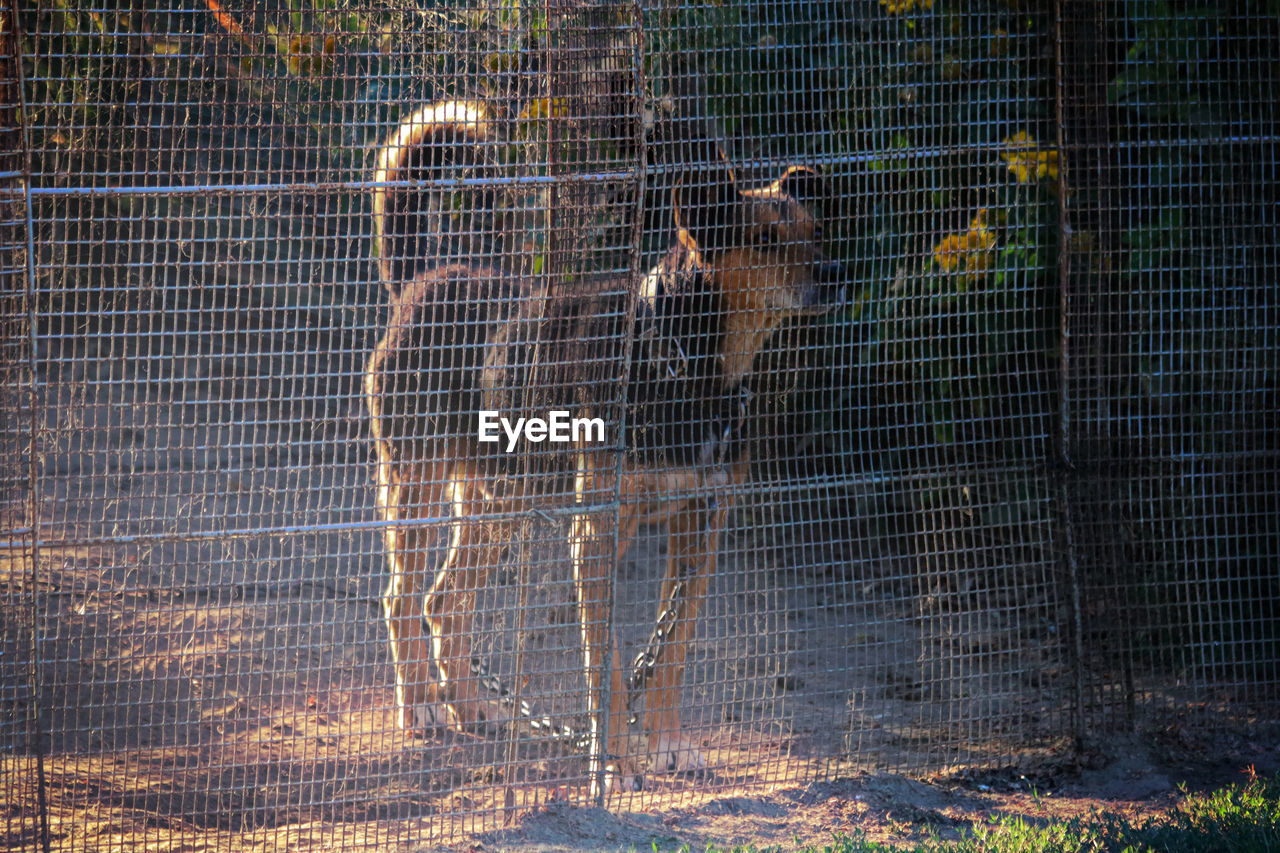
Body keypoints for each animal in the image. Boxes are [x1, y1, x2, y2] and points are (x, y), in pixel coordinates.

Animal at [366, 97, 844, 788]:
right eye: (764, 241)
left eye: (817, 231)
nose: (839, 272)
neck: (688, 368)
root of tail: (424, 279)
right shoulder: (595, 535)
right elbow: (608, 672)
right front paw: (613, 767)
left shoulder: (703, 525)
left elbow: (671, 653)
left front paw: (670, 745)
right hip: (417, 489)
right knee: (402, 597)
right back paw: (423, 709)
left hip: (496, 502)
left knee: (444, 602)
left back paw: (475, 708)